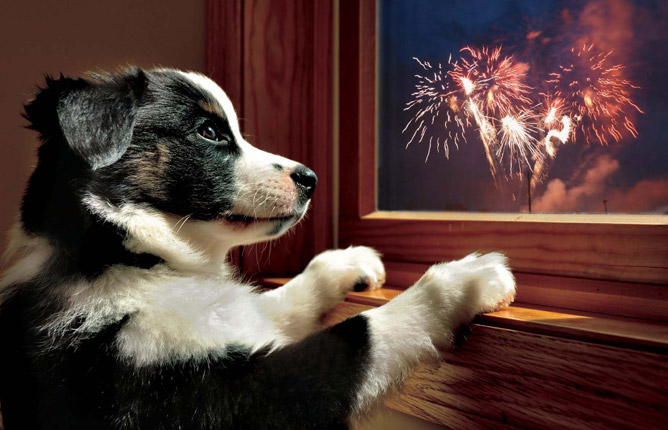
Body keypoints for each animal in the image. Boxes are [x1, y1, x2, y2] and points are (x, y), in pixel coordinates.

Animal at [0, 68, 516, 430]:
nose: (310, 179)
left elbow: (285, 299)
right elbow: (361, 332)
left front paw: (350, 261)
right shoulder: (219, 394)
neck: (139, 257)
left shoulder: (243, 319)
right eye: (209, 132)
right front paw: (466, 280)